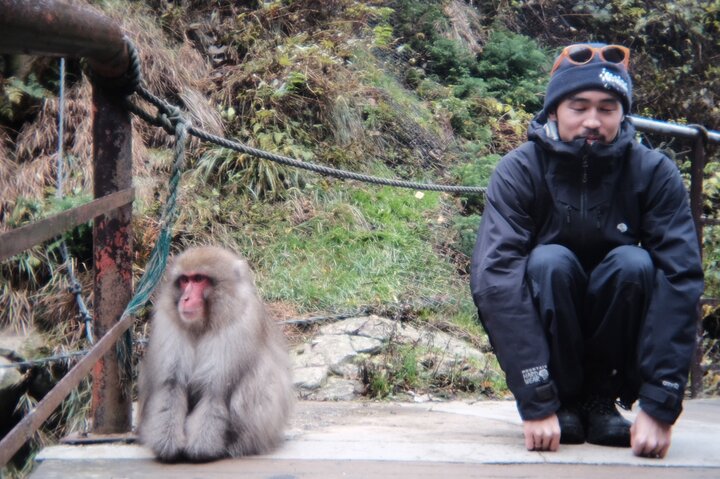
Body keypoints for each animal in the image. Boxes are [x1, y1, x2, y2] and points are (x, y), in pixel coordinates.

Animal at [137, 246, 294, 462]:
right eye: (184, 280)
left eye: (199, 279)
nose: (185, 298)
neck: (203, 324)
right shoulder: (168, 322)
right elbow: (171, 385)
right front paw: (167, 446)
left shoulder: (237, 327)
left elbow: (216, 391)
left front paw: (200, 449)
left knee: (260, 379)